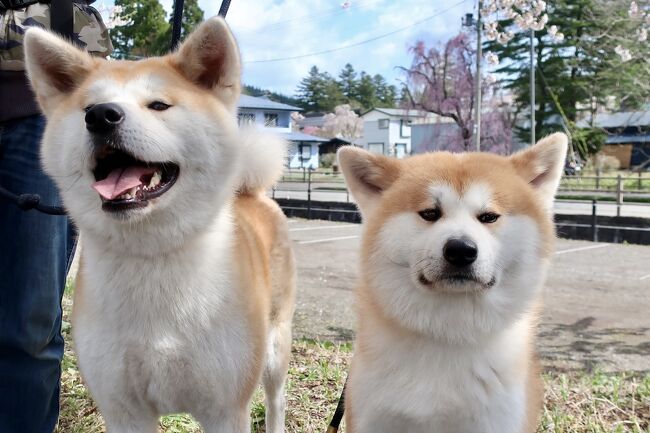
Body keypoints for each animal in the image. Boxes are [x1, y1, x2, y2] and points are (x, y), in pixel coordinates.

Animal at [23, 16, 294, 432]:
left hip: (274, 348)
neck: (153, 257)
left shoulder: (226, 409)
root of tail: (250, 192)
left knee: (277, 399)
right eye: (87, 107)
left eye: (159, 106)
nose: (100, 116)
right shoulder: (123, 408)